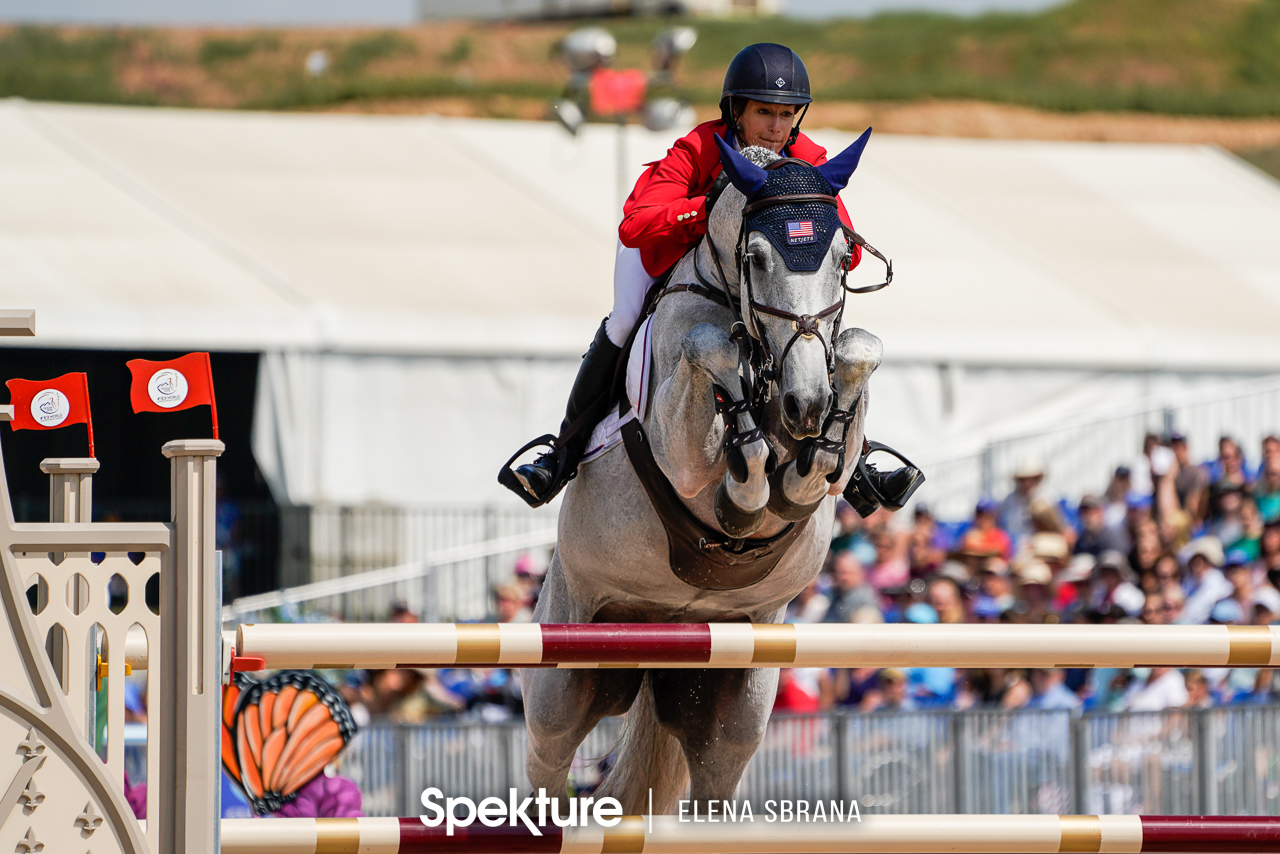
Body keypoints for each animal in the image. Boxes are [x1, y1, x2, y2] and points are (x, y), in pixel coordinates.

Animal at [519, 133, 880, 814]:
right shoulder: (678, 450)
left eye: (844, 259)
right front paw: (748, 480)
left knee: (716, 778)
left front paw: (793, 472)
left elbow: (858, 352)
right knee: (547, 770)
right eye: (757, 258)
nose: (806, 406)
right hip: (564, 679)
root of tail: (666, 631)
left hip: (735, 695)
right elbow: (708, 347)